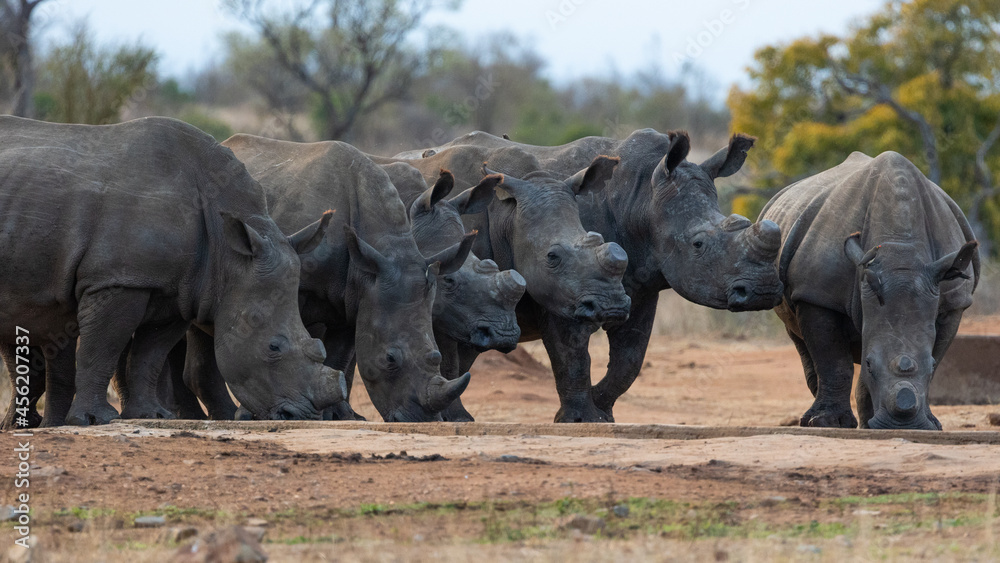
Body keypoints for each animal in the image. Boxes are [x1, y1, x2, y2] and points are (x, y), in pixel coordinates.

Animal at [0, 116, 344, 427]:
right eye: (273, 347)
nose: (301, 416)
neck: (228, 256)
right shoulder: (117, 279)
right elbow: (101, 348)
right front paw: (94, 420)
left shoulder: (181, 290)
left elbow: (149, 355)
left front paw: (151, 415)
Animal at [179, 134, 473, 422]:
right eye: (389, 358)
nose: (422, 420)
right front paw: (251, 415)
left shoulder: (356, 295)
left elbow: (338, 356)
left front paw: (341, 417)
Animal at [760, 151, 978, 430]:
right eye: (870, 364)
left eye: (929, 366)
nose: (901, 424)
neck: (900, 250)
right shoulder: (817, 294)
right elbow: (833, 360)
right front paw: (827, 422)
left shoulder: (954, 302)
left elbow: (938, 355)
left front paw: (932, 424)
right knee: (800, 339)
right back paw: (818, 419)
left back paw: (865, 422)